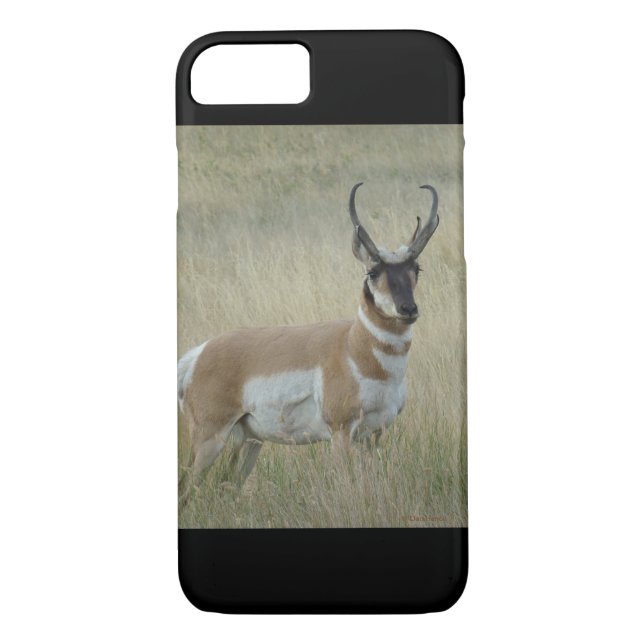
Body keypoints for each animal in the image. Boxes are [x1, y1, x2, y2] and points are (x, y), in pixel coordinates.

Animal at [178, 182, 439, 501]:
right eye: (373, 271)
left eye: (417, 269)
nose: (408, 309)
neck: (353, 346)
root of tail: (199, 353)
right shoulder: (341, 432)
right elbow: (346, 484)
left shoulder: (374, 435)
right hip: (209, 439)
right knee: (185, 488)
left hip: (250, 442)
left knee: (226, 486)